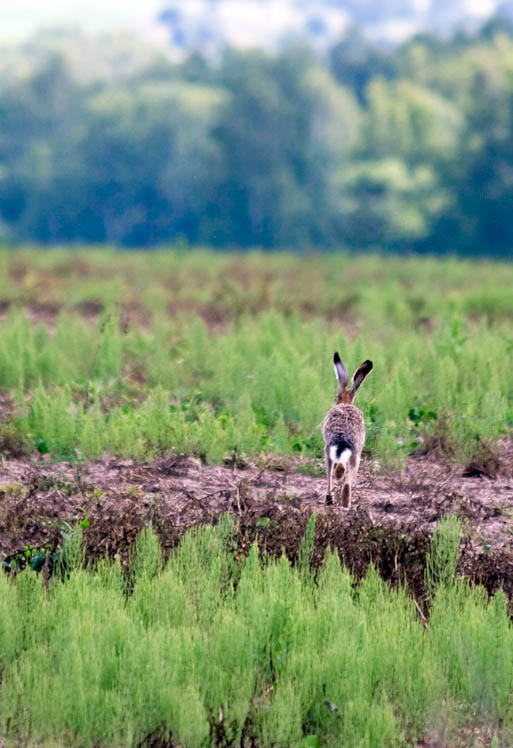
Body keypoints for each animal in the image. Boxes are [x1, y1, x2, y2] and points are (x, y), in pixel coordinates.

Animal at [323, 352, 373, 507]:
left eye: (335, 397)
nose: (335, 401)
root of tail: (342, 436)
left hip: (331, 449)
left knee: (333, 474)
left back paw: (331, 500)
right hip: (355, 454)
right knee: (345, 480)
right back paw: (345, 504)